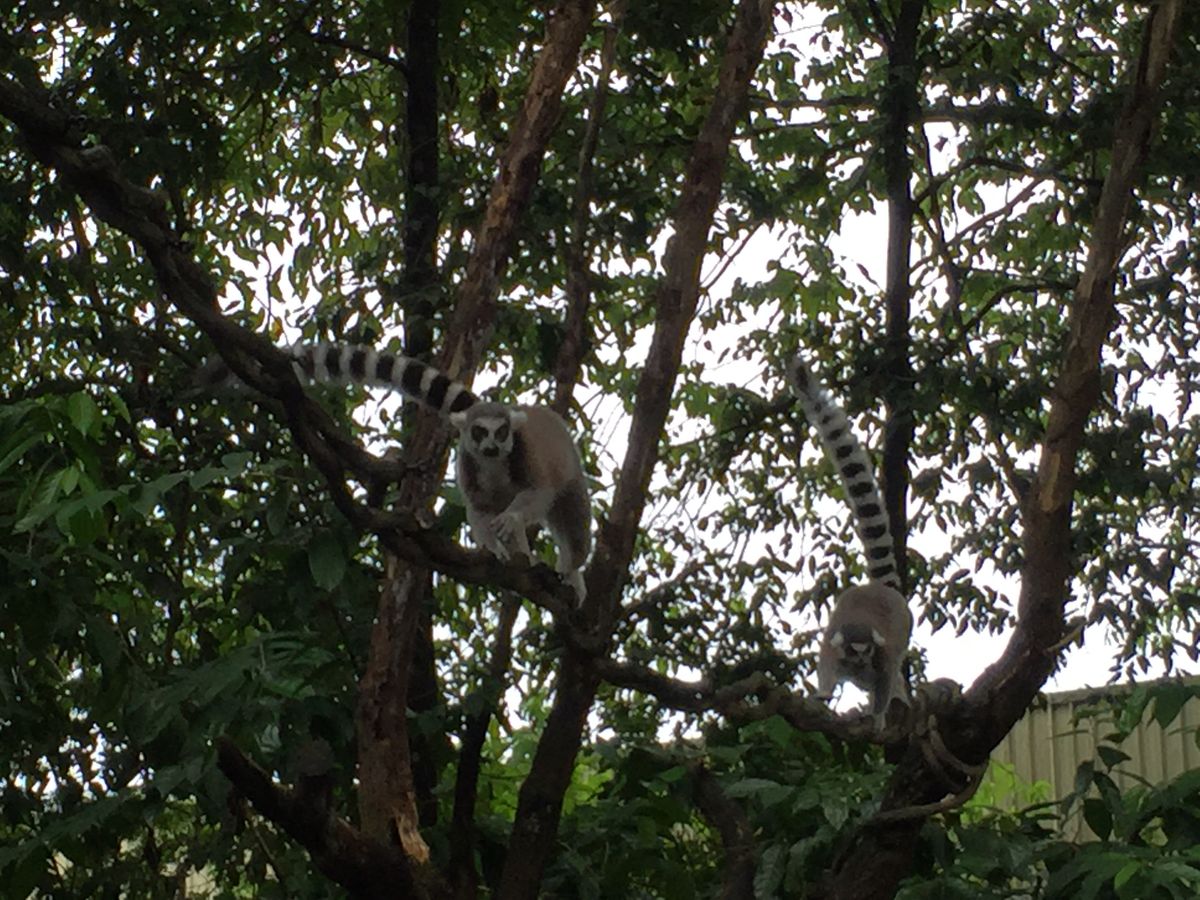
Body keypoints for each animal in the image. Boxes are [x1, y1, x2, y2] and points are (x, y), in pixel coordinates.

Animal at [203, 343, 592, 600]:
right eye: (480, 432)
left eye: (501, 433)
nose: (492, 447)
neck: (493, 463)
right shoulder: (468, 461)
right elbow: (479, 509)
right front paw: (493, 548)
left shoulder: (523, 456)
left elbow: (538, 491)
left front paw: (510, 525)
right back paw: (524, 557)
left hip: (571, 478)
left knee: (575, 528)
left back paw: (569, 571)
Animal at [787, 353, 912, 729]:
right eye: (853, 651)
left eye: (865, 650)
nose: (858, 663)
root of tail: (879, 589)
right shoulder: (832, 650)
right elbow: (826, 671)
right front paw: (822, 696)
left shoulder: (883, 657)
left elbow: (886, 677)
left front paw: (878, 716)